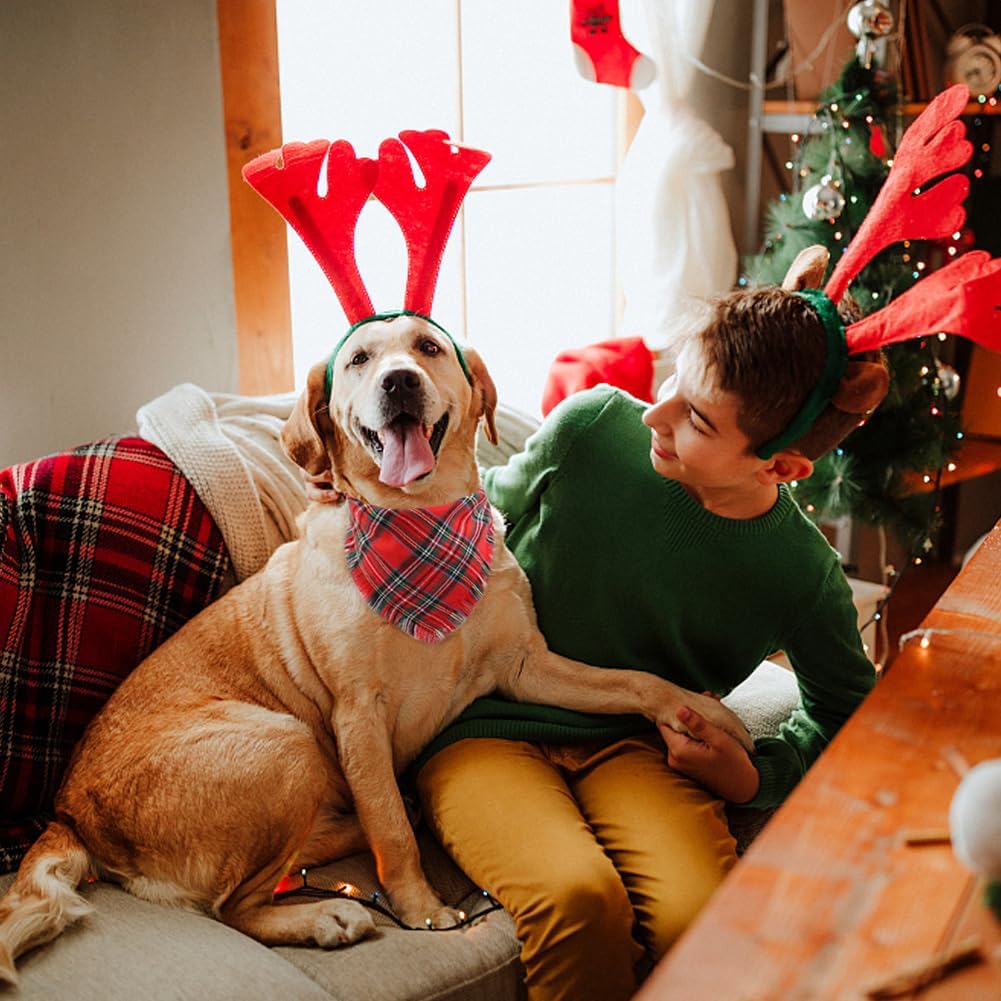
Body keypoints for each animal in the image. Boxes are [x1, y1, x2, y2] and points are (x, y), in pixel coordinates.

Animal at [0, 314, 752, 984]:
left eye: (427, 348)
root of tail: (68, 811)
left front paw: (705, 716)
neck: (422, 522)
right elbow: (391, 829)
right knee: (235, 905)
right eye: (359, 360)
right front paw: (421, 909)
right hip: (284, 742)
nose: (398, 382)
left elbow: (634, 680)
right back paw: (323, 917)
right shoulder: (358, 712)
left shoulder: (525, 665)